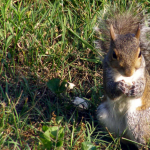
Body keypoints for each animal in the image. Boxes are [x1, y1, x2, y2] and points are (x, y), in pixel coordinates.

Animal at [95, 7, 150, 149]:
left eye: (140, 53)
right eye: (114, 54)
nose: (129, 72)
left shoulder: (143, 76)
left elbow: (142, 89)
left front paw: (136, 89)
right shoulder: (106, 73)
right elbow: (110, 90)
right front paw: (119, 86)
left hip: (137, 119)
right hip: (103, 115)